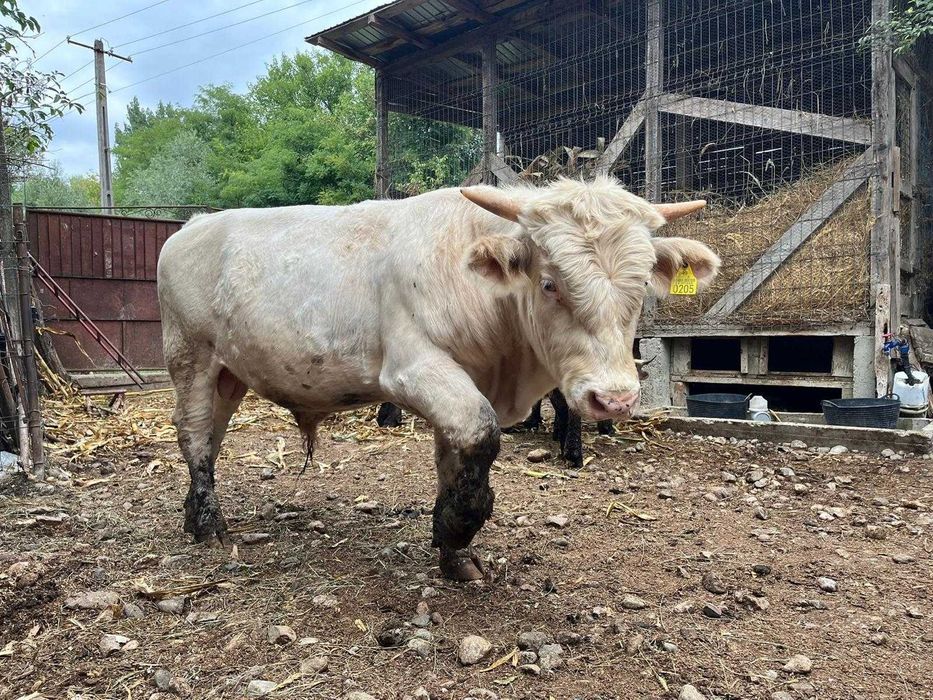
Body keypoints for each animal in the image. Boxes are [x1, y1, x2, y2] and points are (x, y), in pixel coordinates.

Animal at [157, 177, 719, 581]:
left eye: (642, 286)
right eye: (549, 283)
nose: (614, 399)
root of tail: (193, 226)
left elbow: (456, 459)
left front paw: (453, 551)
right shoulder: (416, 370)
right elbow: (478, 434)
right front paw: (456, 528)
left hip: (229, 372)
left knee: (212, 436)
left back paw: (193, 512)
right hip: (190, 356)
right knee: (194, 434)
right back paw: (206, 524)